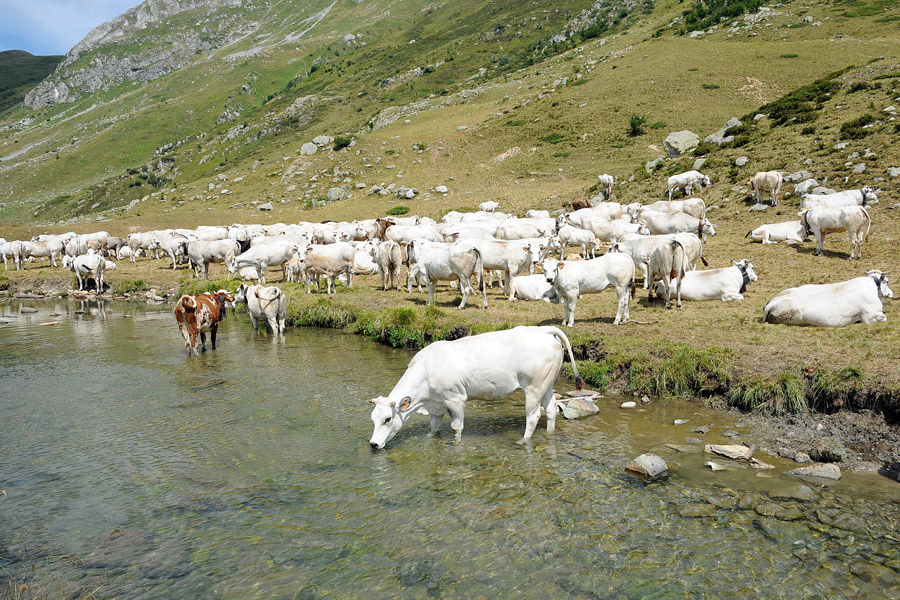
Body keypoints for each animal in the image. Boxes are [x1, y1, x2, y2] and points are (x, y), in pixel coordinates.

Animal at [368, 326, 584, 448]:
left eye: (387, 419)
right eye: (373, 419)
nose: (373, 443)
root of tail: (544, 330)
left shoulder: (455, 399)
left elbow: (456, 427)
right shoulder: (436, 404)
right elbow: (434, 426)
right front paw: (430, 438)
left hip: (534, 387)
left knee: (533, 415)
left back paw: (523, 440)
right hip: (548, 384)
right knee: (551, 409)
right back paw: (549, 434)